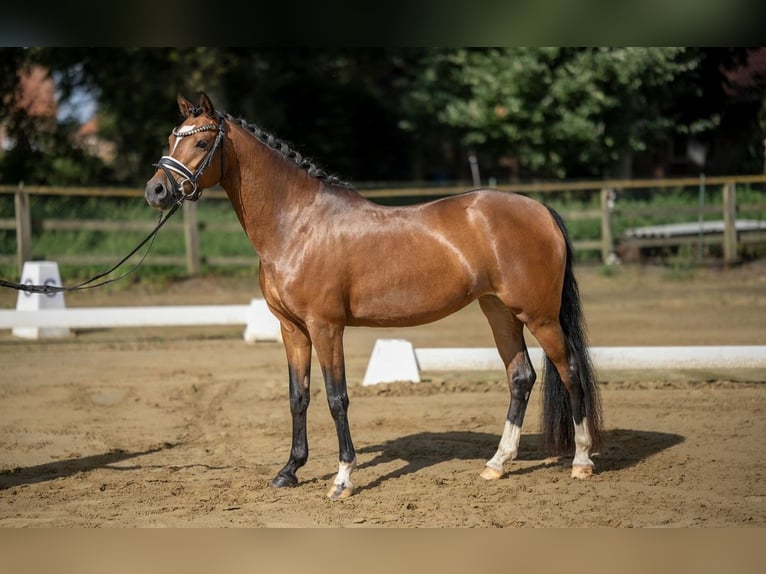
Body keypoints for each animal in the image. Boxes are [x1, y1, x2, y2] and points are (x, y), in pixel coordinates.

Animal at [146, 92, 608, 502]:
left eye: (201, 142)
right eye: (171, 138)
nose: (156, 191)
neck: (297, 224)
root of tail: (541, 210)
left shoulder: (326, 327)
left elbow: (337, 399)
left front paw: (342, 479)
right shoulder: (292, 329)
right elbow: (298, 396)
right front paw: (289, 471)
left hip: (540, 316)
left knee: (570, 372)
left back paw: (582, 461)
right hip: (500, 312)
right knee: (521, 377)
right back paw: (496, 463)